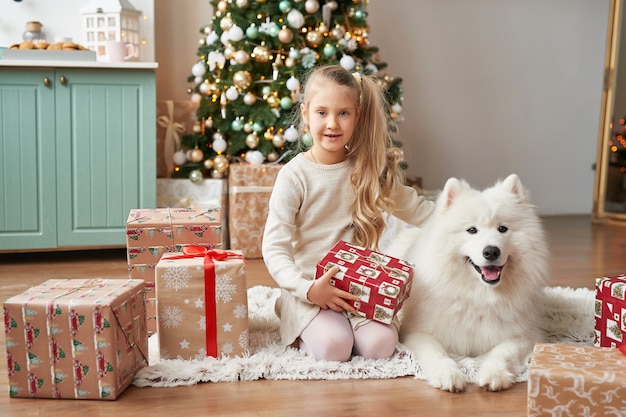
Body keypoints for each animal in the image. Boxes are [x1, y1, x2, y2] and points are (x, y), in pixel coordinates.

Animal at [390, 174, 544, 392]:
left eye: (502, 229)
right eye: (472, 230)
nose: (491, 251)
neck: (479, 296)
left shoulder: (524, 335)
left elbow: (502, 353)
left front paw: (493, 374)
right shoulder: (417, 332)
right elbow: (436, 353)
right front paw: (449, 375)